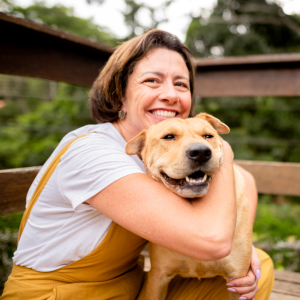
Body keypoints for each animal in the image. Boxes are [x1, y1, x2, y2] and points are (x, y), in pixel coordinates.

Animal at [125, 113, 252, 300]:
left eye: (208, 136)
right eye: (169, 137)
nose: (201, 152)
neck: (196, 211)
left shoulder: (238, 279)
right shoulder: (158, 276)